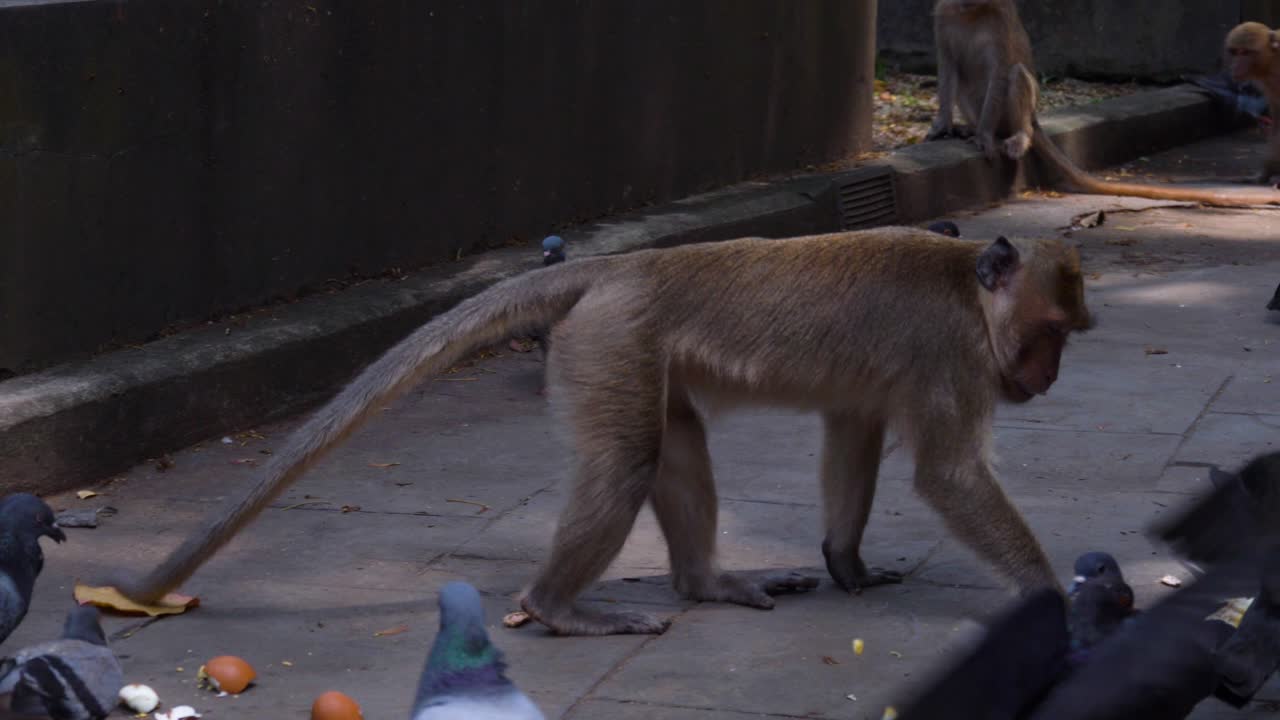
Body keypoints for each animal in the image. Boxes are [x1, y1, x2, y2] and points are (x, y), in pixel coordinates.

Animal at [102, 226, 1093, 636]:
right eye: (1048, 333)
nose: (1049, 377)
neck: (968, 287)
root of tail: (621, 267)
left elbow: (852, 433)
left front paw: (847, 565)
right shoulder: (952, 358)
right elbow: (949, 477)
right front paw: (1060, 594)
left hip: (627, 349)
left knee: (673, 446)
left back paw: (702, 584)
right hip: (609, 343)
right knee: (625, 461)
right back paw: (556, 607)